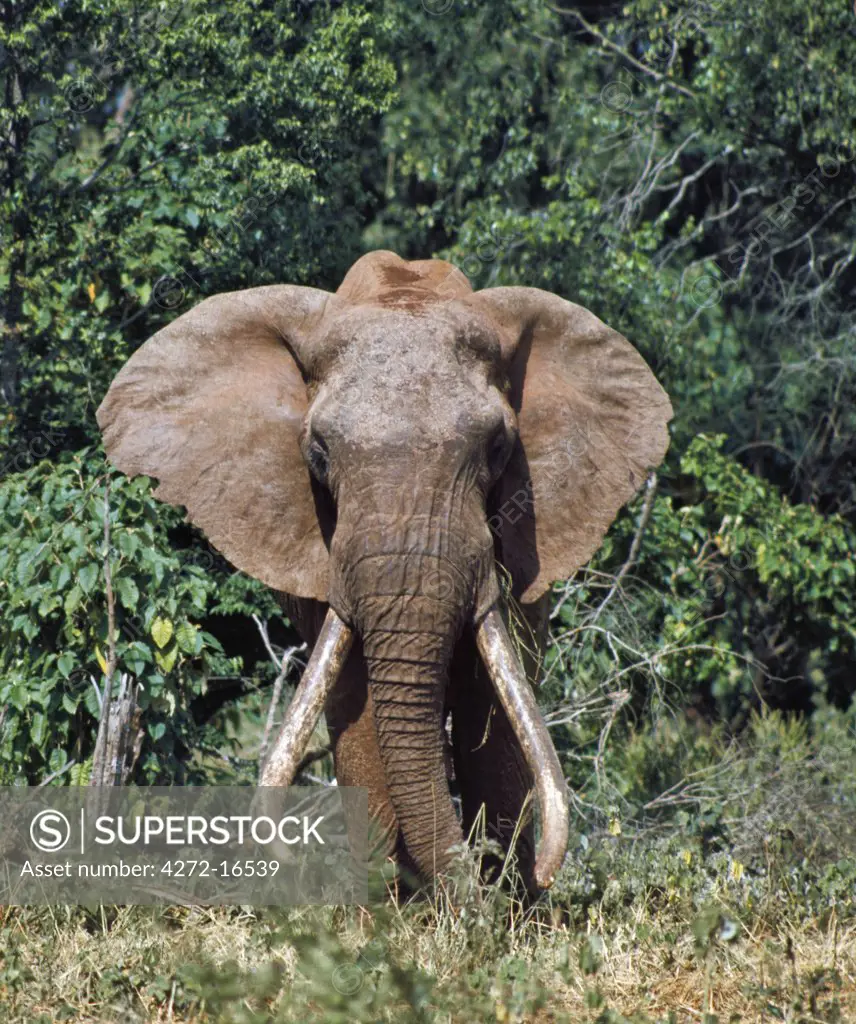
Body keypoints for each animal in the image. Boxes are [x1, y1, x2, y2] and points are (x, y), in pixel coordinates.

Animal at [96, 247, 671, 888]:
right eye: (318, 452)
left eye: (499, 447)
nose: (542, 875)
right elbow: (358, 702)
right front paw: (396, 904)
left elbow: (494, 707)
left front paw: (503, 905)